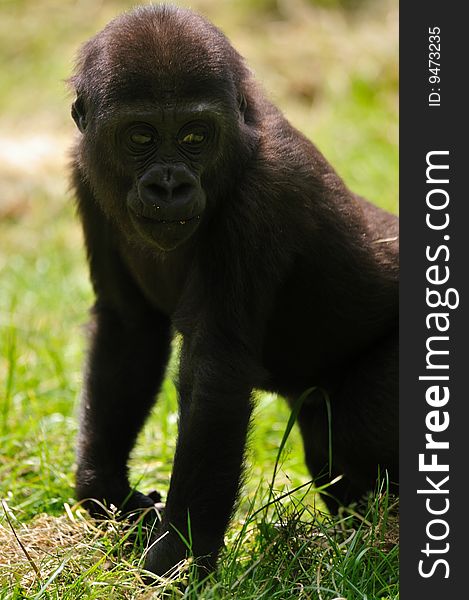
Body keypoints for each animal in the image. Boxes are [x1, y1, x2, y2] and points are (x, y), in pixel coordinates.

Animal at [70, 4, 398, 576]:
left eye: (195, 136)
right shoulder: (86, 173)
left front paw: (177, 559)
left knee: (358, 424)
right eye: (140, 137)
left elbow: (214, 374)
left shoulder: (263, 195)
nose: (170, 186)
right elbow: (127, 329)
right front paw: (109, 493)